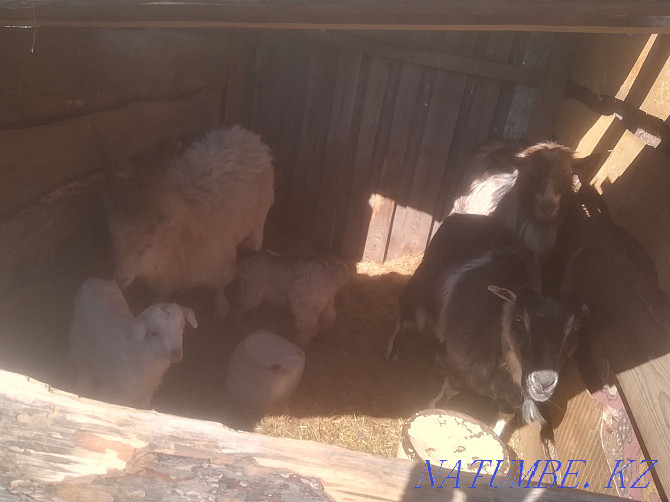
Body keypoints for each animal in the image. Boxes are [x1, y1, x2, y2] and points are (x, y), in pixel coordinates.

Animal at [70, 276, 198, 410]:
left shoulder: (145, 396)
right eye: (154, 333)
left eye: (183, 327)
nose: (176, 353)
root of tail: (96, 280)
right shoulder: (115, 393)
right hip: (79, 344)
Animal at [107, 125, 276, 316]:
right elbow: (159, 295)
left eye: (148, 244)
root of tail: (246, 135)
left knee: (255, 239)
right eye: (114, 241)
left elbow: (219, 286)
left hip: (260, 213)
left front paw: (221, 307)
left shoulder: (219, 262)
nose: (120, 279)